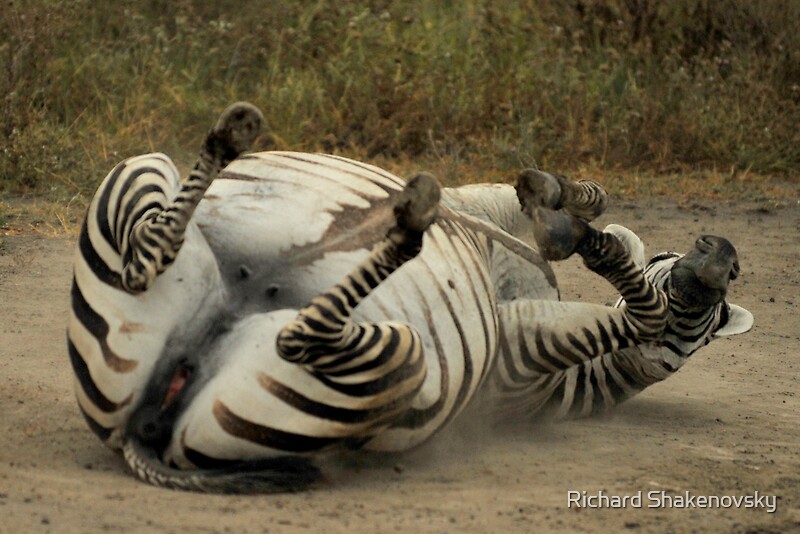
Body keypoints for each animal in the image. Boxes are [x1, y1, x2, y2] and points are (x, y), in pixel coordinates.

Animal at [68, 102, 752, 493]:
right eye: (712, 291)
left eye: (708, 318)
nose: (723, 256)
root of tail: (133, 431)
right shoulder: (488, 209)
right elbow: (579, 199)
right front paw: (563, 209)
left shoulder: (517, 354)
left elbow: (644, 307)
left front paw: (585, 240)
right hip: (144, 166)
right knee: (149, 247)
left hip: (402, 359)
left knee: (290, 329)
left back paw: (403, 226)